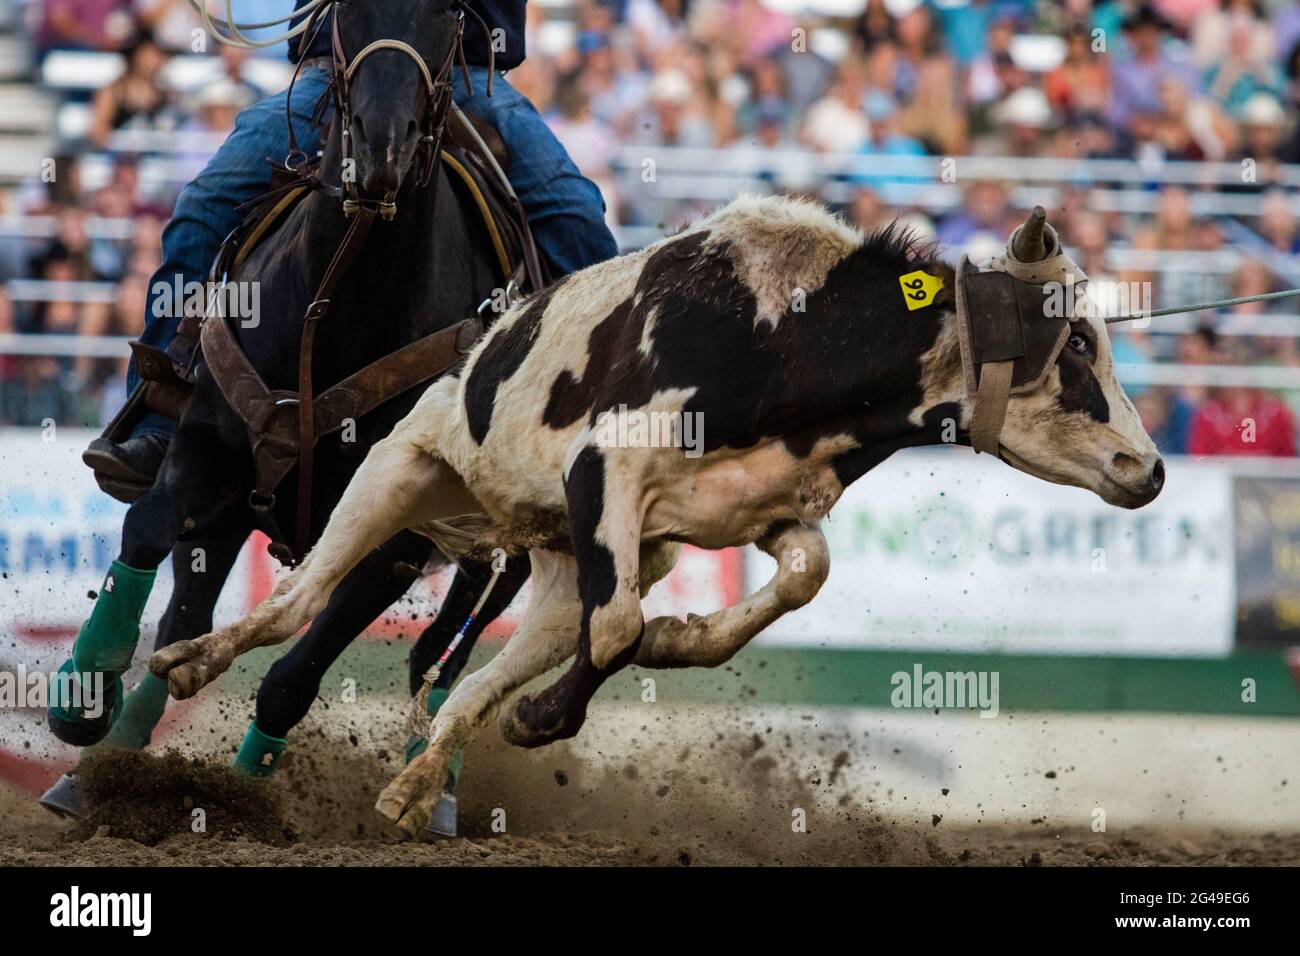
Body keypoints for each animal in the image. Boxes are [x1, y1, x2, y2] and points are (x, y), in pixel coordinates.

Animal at [149, 197, 1164, 835]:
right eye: (1078, 341)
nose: (1147, 469)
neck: (787, 333)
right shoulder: (608, 469)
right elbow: (619, 627)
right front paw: (550, 714)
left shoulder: (749, 514)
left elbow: (800, 574)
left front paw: (677, 642)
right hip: (399, 472)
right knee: (297, 601)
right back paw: (187, 660)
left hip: (556, 567)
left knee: (471, 688)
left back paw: (411, 788)